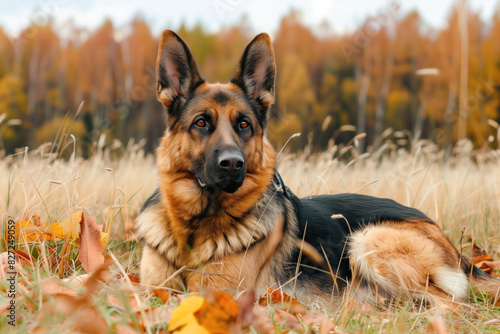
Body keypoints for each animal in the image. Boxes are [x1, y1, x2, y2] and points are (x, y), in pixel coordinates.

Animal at [137, 30, 500, 306]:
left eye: (244, 125)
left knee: (451, 304)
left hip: (368, 238)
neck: (194, 226)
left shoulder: (219, 292)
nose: (232, 164)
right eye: (201, 123)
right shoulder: (151, 289)